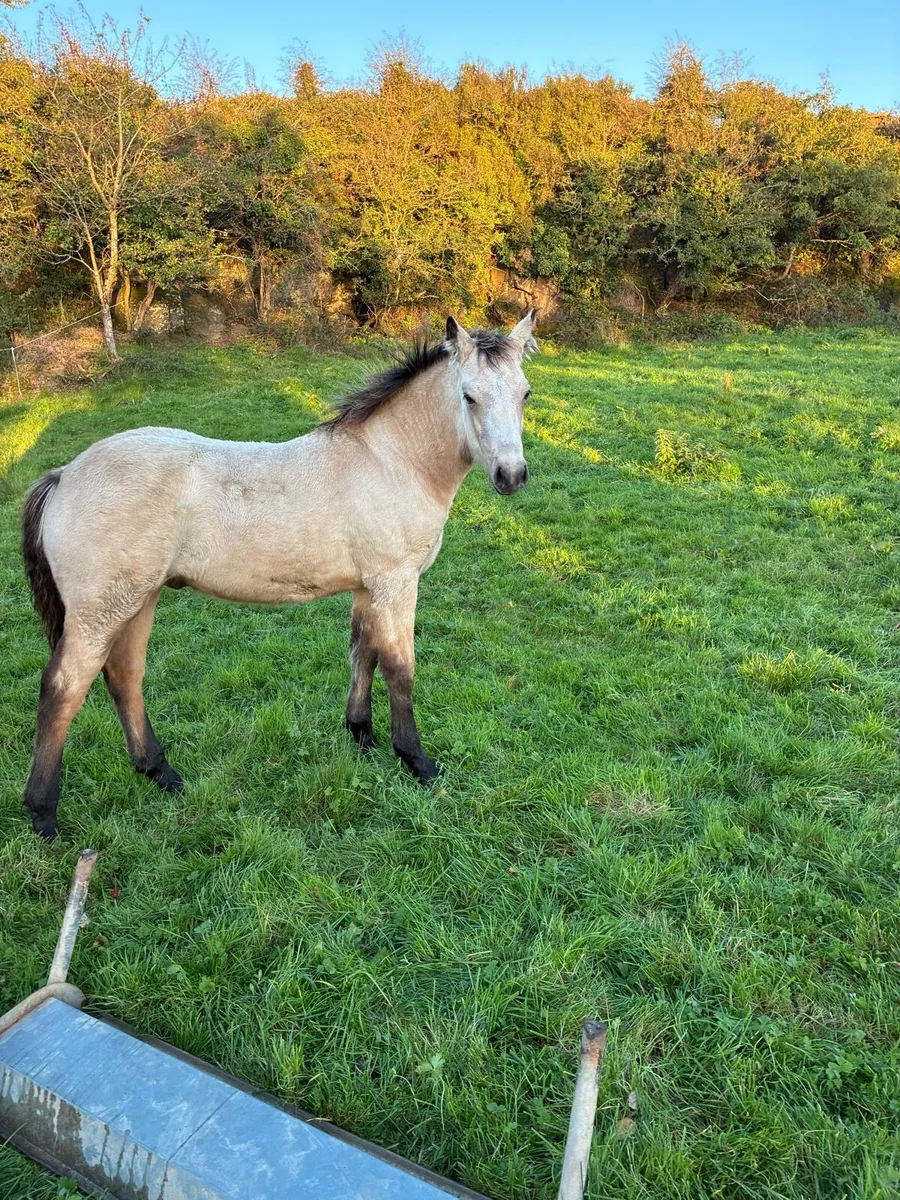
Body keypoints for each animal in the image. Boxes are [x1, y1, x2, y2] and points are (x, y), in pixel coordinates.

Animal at [20, 311, 537, 839]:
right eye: (469, 396)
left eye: (525, 393)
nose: (511, 475)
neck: (390, 461)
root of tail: (65, 474)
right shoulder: (396, 583)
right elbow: (400, 667)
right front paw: (417, 761)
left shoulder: (368, 588)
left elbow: (363, 652)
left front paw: (361, 735)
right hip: (101, 611)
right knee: (62, 690)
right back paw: (44, 814)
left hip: (139, 600)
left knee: (124, 676)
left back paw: (161, 773)